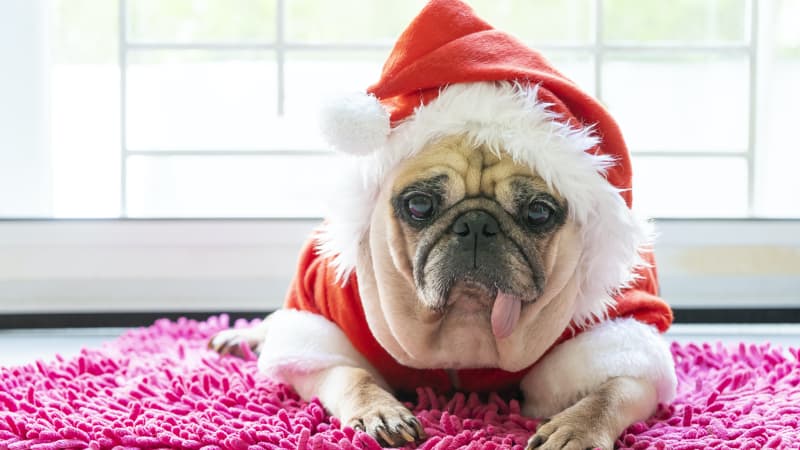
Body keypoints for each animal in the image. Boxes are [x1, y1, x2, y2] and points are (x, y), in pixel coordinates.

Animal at [208, 0, 676, 450]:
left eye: (539, 212)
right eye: (419, 205)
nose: (477, 225)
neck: (464, 321)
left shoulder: (625, 338)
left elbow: (608, 393)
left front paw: (575, 428)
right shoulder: (328, 328)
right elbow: (352, 375)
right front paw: (381, 412)